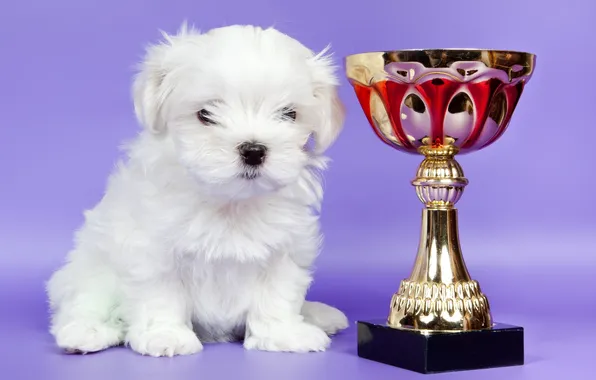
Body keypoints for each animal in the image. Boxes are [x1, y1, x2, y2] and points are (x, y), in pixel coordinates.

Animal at [46, 23, 350, 356]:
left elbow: (277, 294)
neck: (230, 202)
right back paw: (86, 332)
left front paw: (283, 334)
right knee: (84, 302)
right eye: (205, 114)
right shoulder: (152, 249)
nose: (254, 150)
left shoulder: (285, 248)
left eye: (288, 114)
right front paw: (166, 335)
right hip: (90, 269)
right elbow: (161, 293)